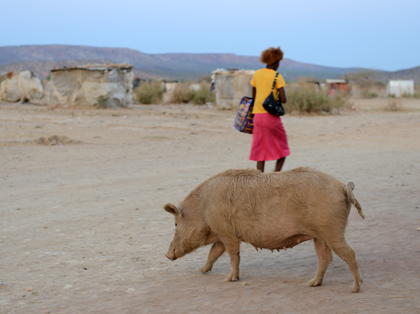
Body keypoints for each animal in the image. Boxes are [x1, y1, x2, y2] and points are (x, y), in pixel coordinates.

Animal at [164, 168, 364, 294]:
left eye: (175, 224)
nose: (166, 255)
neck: (202, 208)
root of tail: (342, 186)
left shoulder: (227, 233)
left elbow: (233, 256)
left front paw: (228, 279)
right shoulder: (221, 234)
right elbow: (214, 253)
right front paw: (201, 270)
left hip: (331, 230)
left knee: (349, 253)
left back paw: (355, 288)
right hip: (319, 235)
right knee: (325, 257)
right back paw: (311, 284)